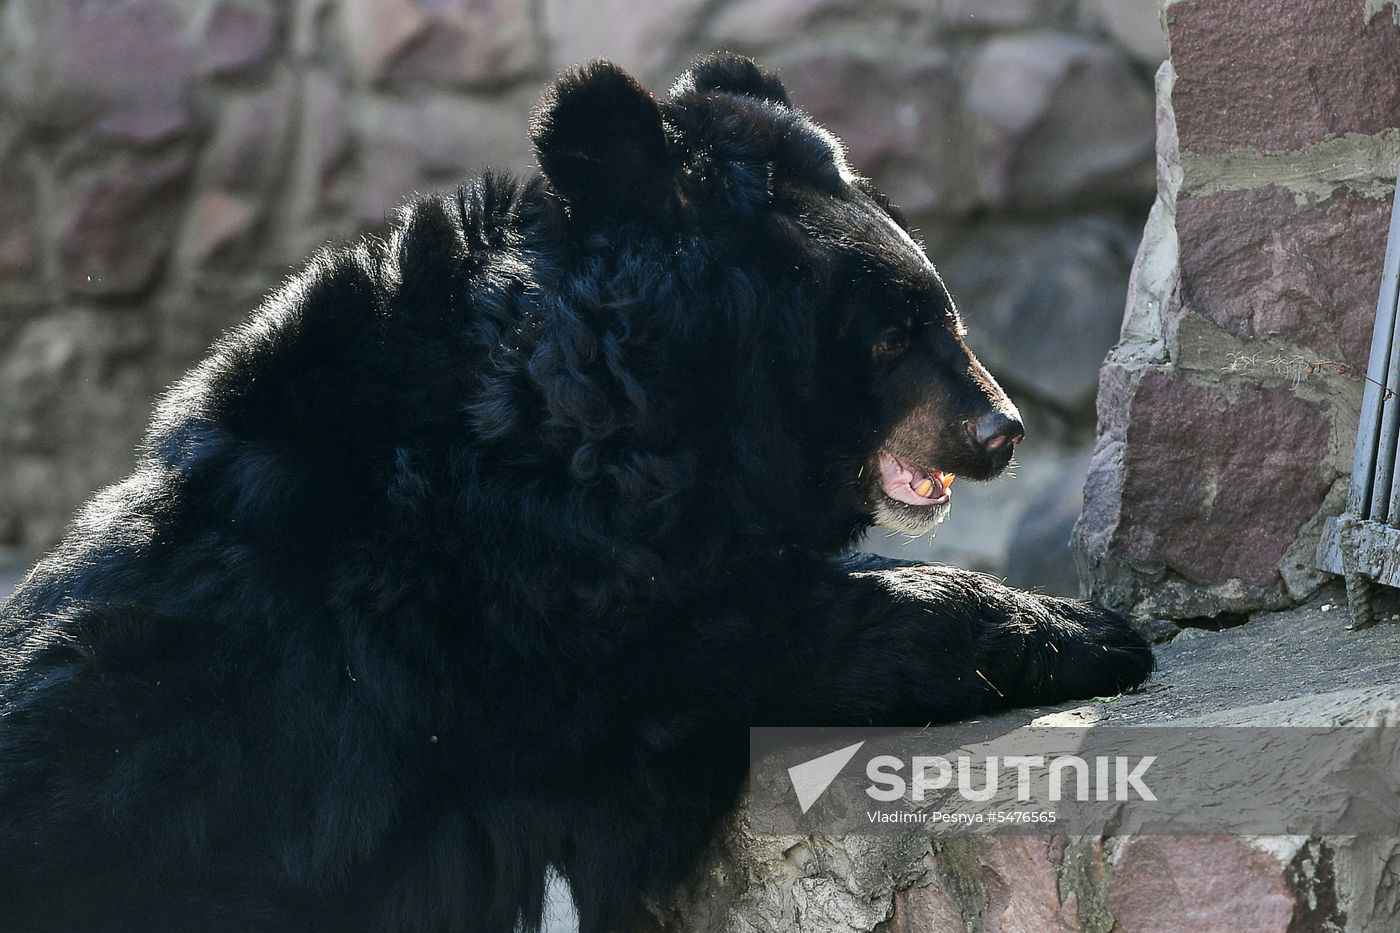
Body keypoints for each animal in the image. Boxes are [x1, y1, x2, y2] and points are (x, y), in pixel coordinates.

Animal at [0, 54, 1151, 933]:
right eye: (890, 335)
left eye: (940, 310)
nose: (999, 430)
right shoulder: (531, 604)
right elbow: (768, 630)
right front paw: (1093, 630)